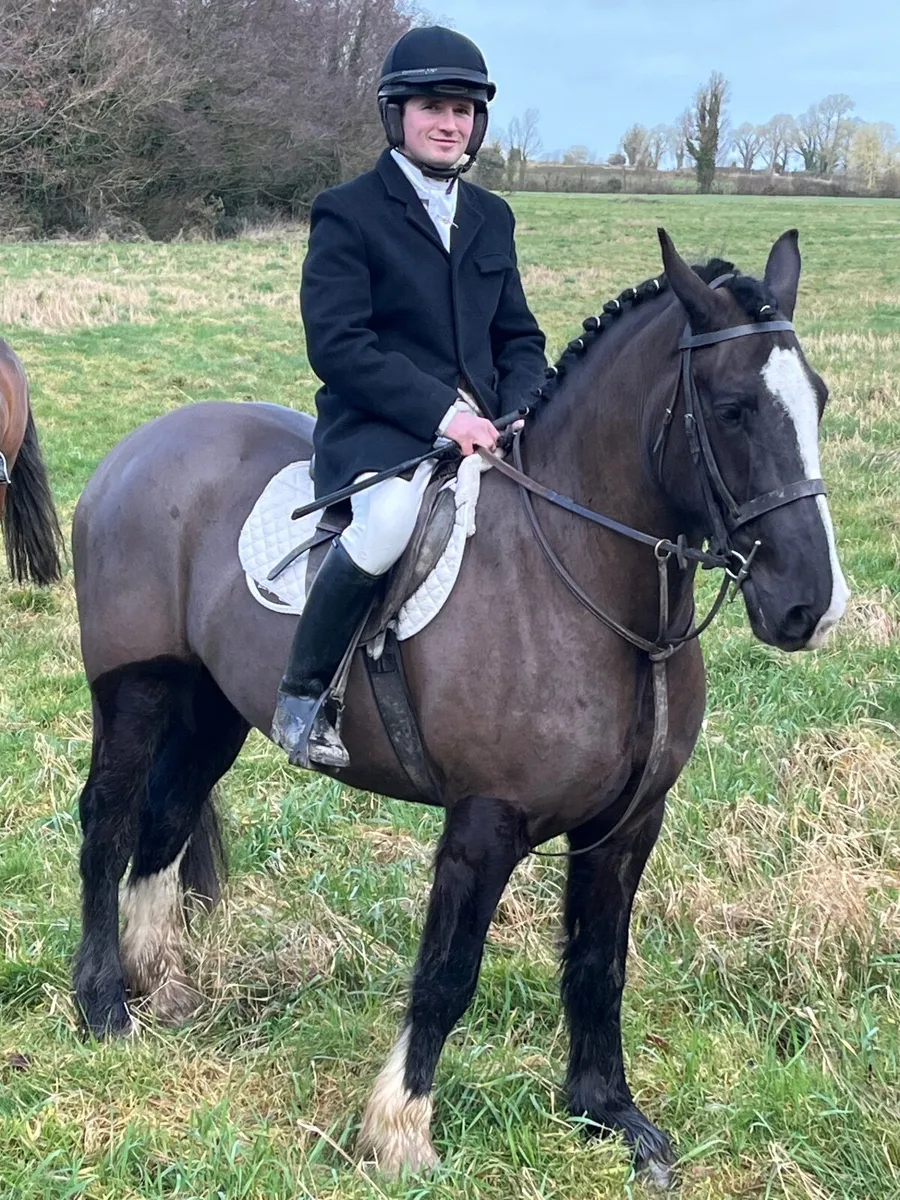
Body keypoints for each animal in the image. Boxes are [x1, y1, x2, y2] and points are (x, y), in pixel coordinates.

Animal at [71, 229, 848, 1185]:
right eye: (734, 409)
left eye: (817, 399)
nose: (811, 605)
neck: (586, 580)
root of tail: (142, 445)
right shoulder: (485, 821)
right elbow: (448, 972)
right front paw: (400, 1132)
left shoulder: (629, 825)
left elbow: (600, 964)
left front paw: (608, 1113)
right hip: (136, 690)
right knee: (108, 822)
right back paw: (105, 1006)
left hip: (212, 704)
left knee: (166, 816)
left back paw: (161, 983)